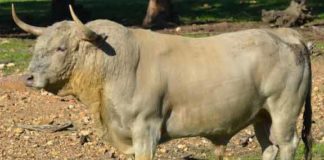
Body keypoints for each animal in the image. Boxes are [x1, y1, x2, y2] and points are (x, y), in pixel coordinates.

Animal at [11, 4, 312, 160]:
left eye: (61, 48)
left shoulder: (146, 129)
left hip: (284, 110)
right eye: (38, 45)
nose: (29, 77)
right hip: (261, 115)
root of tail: (288, 35)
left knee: (287, 144)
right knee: (270, 147)